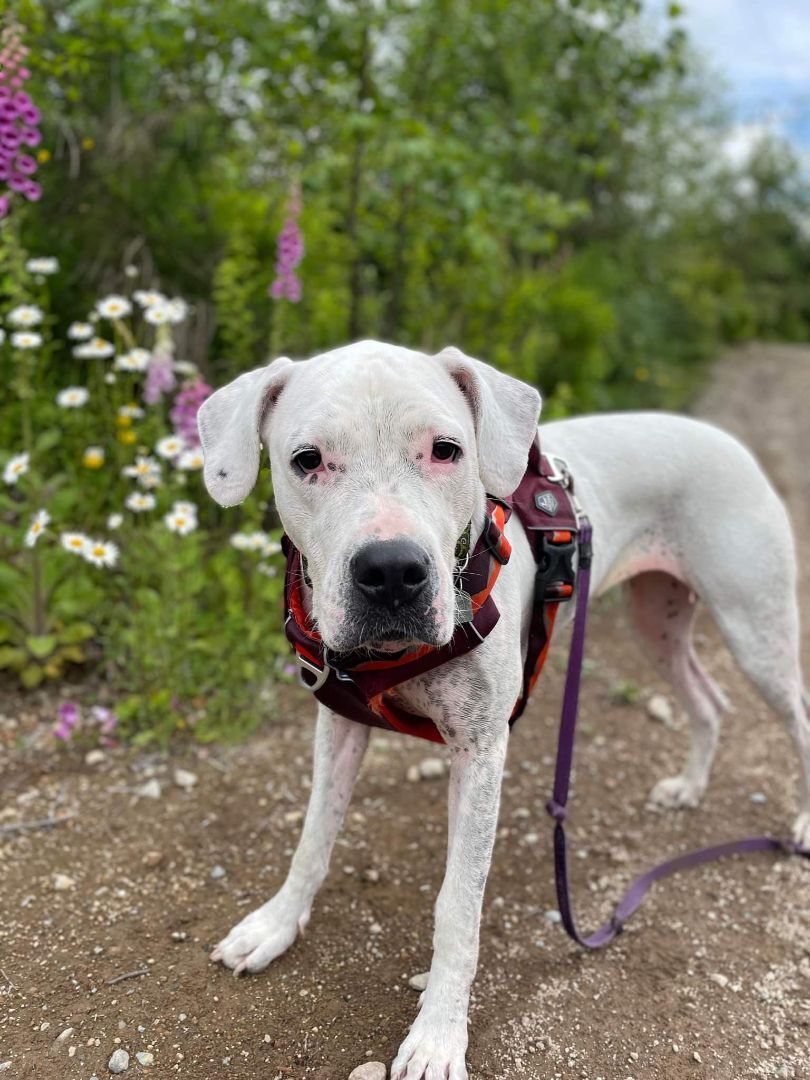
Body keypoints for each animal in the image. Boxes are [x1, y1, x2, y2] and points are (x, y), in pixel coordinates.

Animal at [198, 341, 810, 1080]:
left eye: (446, 450)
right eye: (307, 459)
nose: (392, 572)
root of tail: (725, 439)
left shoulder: (481, 753)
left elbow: (457, 908)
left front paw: (437, 1037)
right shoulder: (338, 726)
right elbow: (312, 839)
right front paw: (275, 925)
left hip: (755, 629)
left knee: (797, 715)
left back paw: (803, 822)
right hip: (657, 622)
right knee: (709, 700)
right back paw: (689, 785)